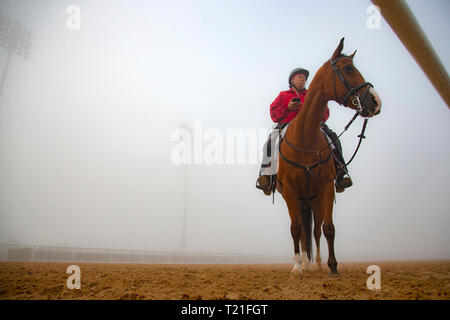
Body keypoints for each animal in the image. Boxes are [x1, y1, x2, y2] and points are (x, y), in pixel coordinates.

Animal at [276, 38, 382, 276]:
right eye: (348, 68)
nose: (375, 101)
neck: (305, 137)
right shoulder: (291, 193)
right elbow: (296, 229)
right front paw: (297, 268)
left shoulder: (325, 188)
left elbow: (328, 228)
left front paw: (332, 266)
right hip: (299, 200)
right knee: (302, 232)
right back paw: (304, 263)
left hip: (313, 200)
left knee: (314, 232)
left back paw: (315, 263)